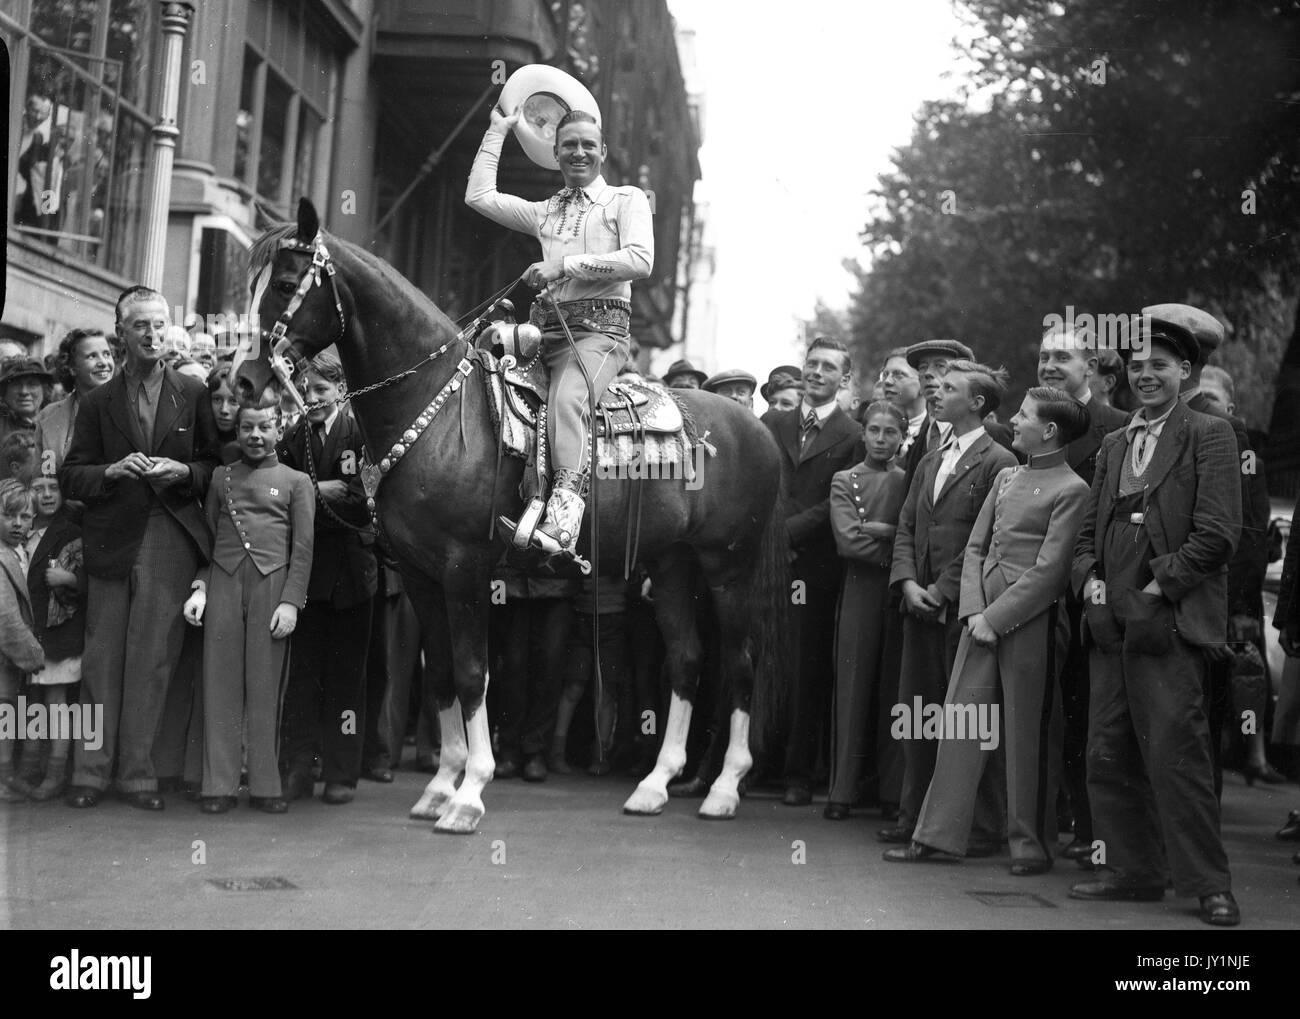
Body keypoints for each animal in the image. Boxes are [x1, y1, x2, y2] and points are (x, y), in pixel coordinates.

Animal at [236, 201, 790, 837]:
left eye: (283, 285)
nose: (245, 378)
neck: (436, 404)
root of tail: (756, 429)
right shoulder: (422, 574)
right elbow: (443, 674)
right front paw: (438, 787)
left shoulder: (465, 568)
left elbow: (474, 672)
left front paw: (470, 793)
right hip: (673, 564)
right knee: (687, 660)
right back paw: (654, 785)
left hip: (729, 568)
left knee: (741, 663)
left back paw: (722, 789)